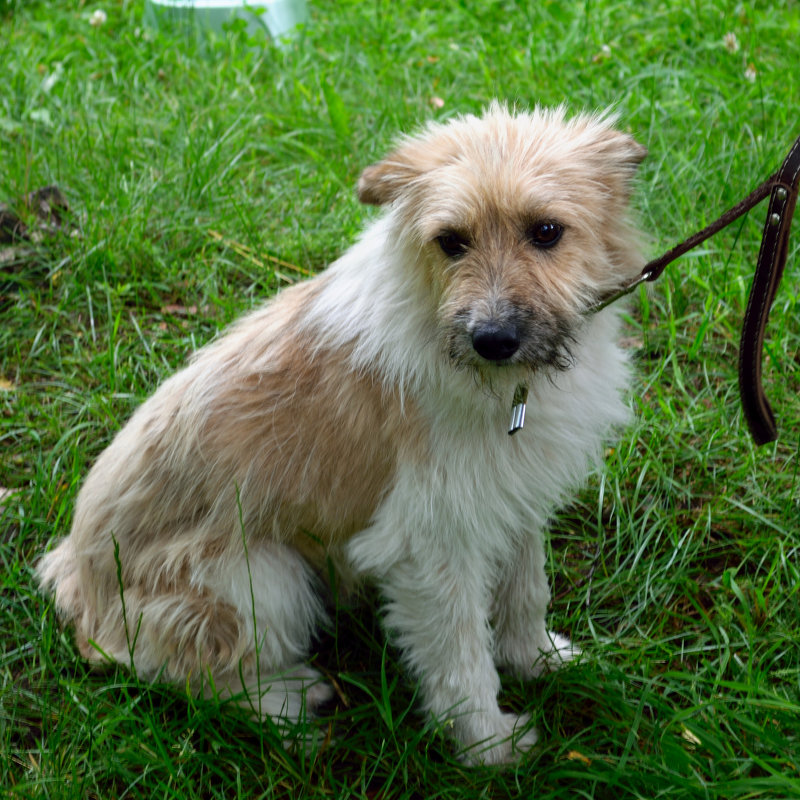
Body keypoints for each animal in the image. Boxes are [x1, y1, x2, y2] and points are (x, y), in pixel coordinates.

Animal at [37, 104, 648, 764]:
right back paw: (286, 703)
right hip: (261, 577)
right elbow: (461, 658)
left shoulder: (511, 498)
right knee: (195, 677)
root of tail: (75, 586)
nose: (492, 340)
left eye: (546, 232)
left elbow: (525, 591)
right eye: (451, 241)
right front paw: (487, 747)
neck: (505, 383)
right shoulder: (431, 544)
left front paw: (537, 661)